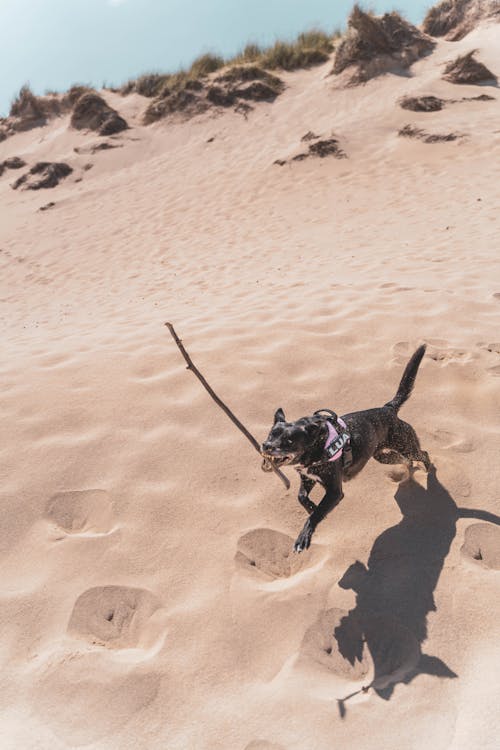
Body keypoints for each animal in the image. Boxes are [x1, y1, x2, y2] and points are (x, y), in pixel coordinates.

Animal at [262, 346, 430, 552]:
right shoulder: (308, 478)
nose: (266, 446)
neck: (319, 445)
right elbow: (301, 497)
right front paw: (311, 506)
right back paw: (409, 468)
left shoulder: (334, 492)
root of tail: (389, 409)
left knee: (423, 454)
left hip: (406, 445)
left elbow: (315, 515)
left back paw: (428, 469)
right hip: (383, 456)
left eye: (289, 441)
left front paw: (304, 536)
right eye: (271, 434)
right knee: (405, 459)